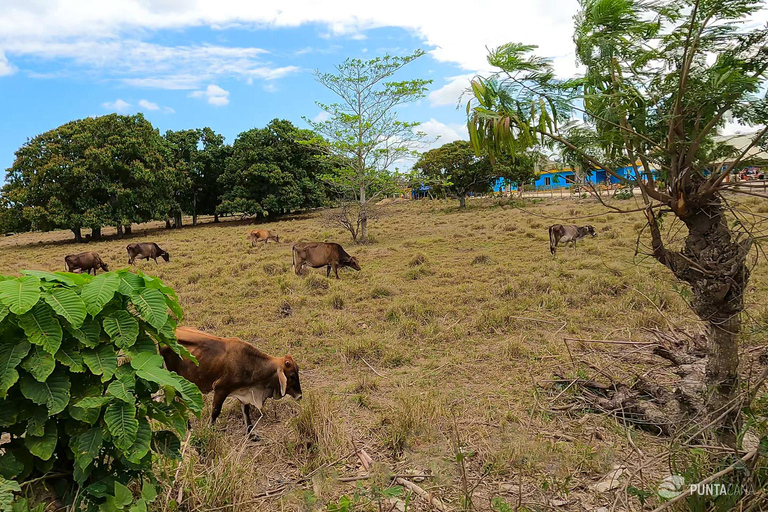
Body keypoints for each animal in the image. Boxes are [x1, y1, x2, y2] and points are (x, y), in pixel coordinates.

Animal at [160, 328, 304, 440]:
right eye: (292, 376)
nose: (300, 396)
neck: (252, 364)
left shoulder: (244, 392)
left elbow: (246, 412)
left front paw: (251, 434)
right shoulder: (221, 389)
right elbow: (215, 412)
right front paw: (211, 432)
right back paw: (189, 428)